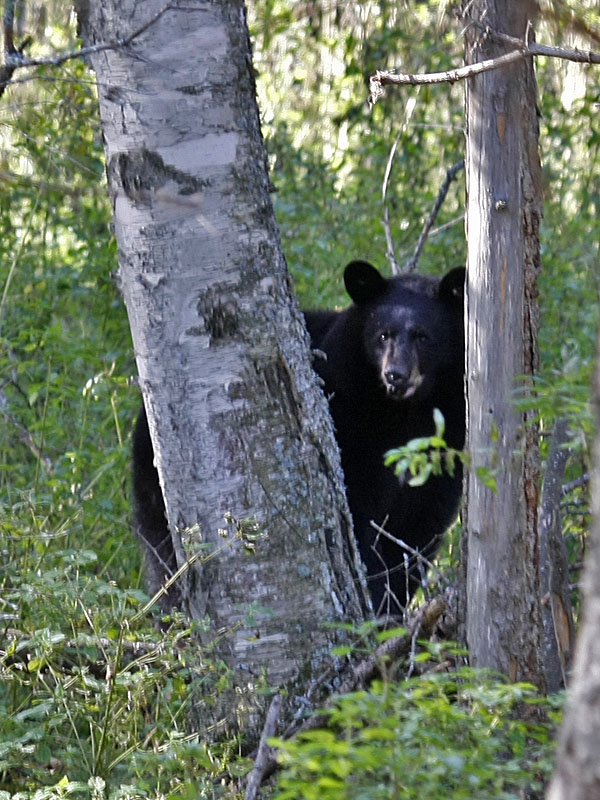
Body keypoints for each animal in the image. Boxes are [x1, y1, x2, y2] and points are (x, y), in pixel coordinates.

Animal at [304, 260, 464, 616]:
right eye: (382, 334)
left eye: (423, 336)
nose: (395, 375)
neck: (404, 412)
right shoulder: (351, 426)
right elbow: (361, 522)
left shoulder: (445, 451)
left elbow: (415, 535)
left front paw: (389, 610)